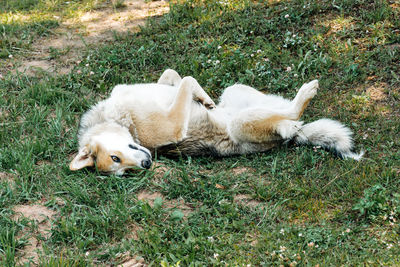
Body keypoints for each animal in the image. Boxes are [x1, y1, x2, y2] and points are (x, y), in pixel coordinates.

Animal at [70, 69, 364, 176]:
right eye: (118, 164)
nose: (146, 164)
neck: (116, 118)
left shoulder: (165, 85)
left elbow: (177, 77)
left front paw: (205, 100)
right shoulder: (173, 123)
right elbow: (186, 82)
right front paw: (202, 100)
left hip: (237, 91)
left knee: (278, 110)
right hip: (242, 124)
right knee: (291, 116)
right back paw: (298, 106)